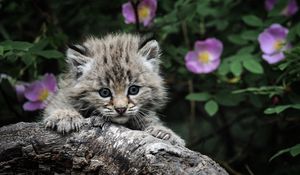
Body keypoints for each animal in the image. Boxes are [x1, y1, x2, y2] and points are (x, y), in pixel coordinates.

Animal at [43, 33, 185, 146]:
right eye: (104, 92)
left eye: (133, 90)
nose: (121, 109)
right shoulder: (64, 93)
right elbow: (59, 103)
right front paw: (65, 116)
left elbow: (148, 118)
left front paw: (164, 133)